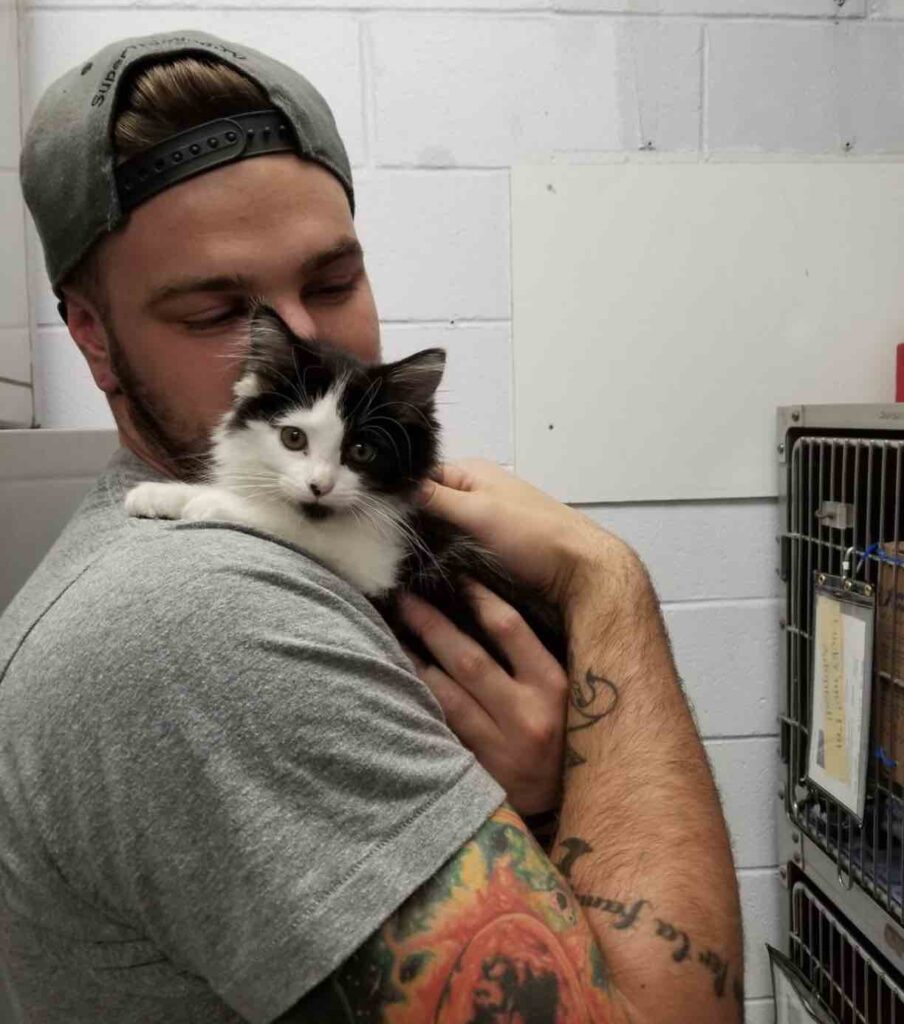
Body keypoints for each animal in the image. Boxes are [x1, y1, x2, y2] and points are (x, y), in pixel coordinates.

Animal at [125, 307, 565, 667]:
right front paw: (160, 493)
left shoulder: (381, 566)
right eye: (293, 438)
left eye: (361, 451)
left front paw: (212, 502)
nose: (319, 485)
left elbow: (293, 524)